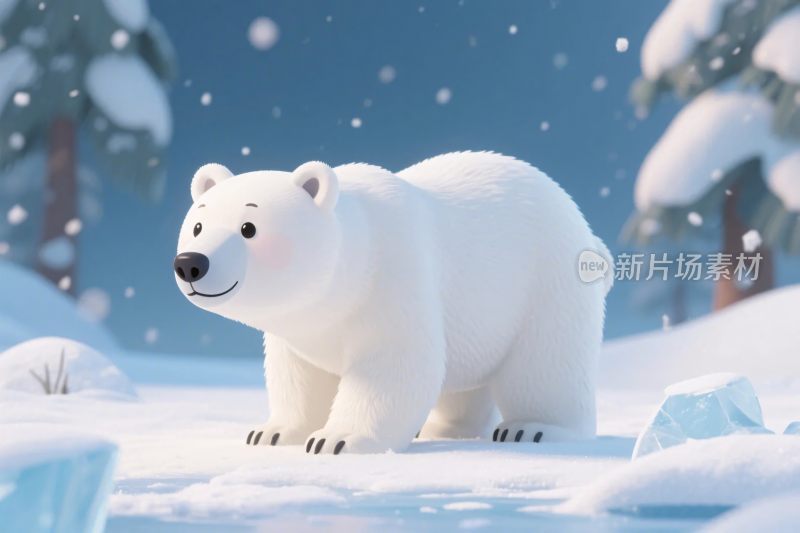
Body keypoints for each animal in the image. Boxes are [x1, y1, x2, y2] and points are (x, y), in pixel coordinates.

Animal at [174, 151, 612, 454]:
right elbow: (300, 376)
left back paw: (532, 427)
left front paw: (337, 439)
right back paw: (441, 428)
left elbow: (393, 364)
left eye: (248, 228)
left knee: (545, 366)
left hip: (546, 284)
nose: (191, 263)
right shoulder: (302, 327)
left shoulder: (390, 280)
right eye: (197, 225)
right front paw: (271, 432)